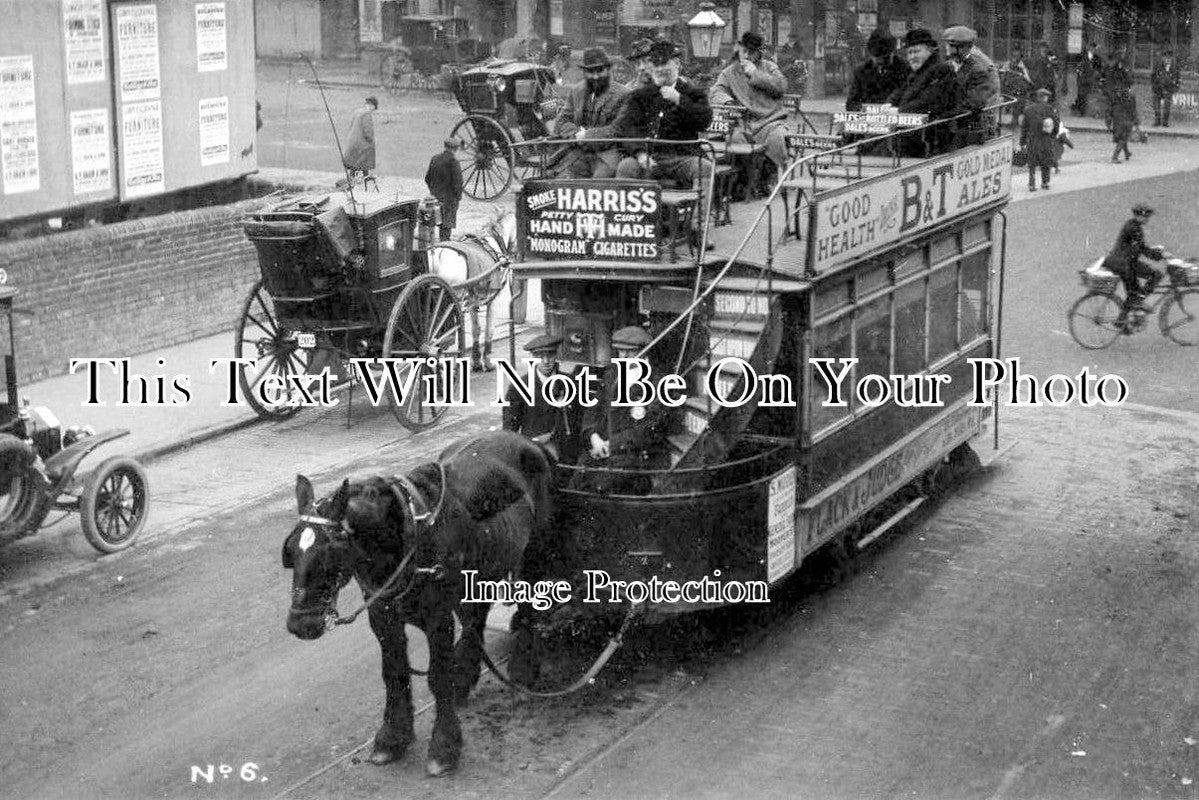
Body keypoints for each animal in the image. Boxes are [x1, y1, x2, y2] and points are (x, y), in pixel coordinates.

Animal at [282, 431, 553, 777]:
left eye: (329, 554)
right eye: (291, 552)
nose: (299, 624)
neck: (407, 535)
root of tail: (527, 440)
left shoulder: (437, 618)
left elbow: (437, 677)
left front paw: (445, 745)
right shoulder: (382, 616)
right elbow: (393, 673)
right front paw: (392, 736)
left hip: (535, 551)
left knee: (531, 602)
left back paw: (522, 668)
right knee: (475, 617)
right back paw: (466, 674)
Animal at [426, 205, 520, 371]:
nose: (514, 255)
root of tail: (437, 254)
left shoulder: (472, 302)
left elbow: (476, 329)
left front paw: (476, 361)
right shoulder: (493, 299)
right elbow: (489, 329)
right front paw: (487, 361)